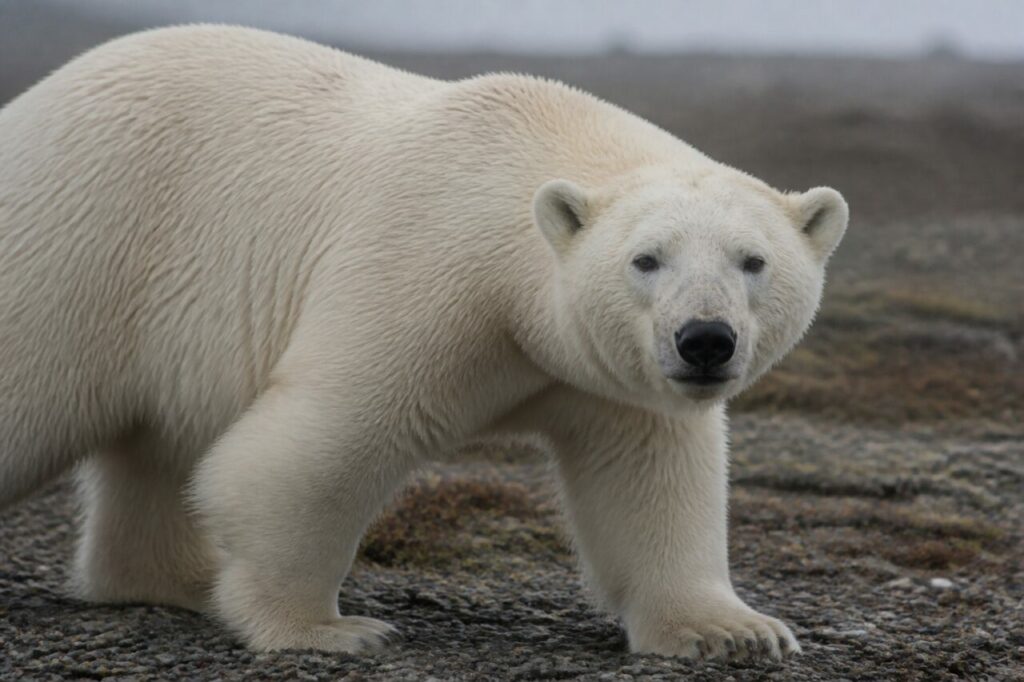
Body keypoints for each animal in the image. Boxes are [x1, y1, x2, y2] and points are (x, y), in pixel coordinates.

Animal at [0, 25, 848, 660]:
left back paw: (174, 581)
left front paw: (734, 631)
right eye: (647, 259)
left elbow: (650, 478)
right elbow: (315, 447)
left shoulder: (606, 373)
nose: (704, 340)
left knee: (159, 447)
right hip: (85, 235)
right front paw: (326, 628)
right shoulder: (428, 267)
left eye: (753, 261)